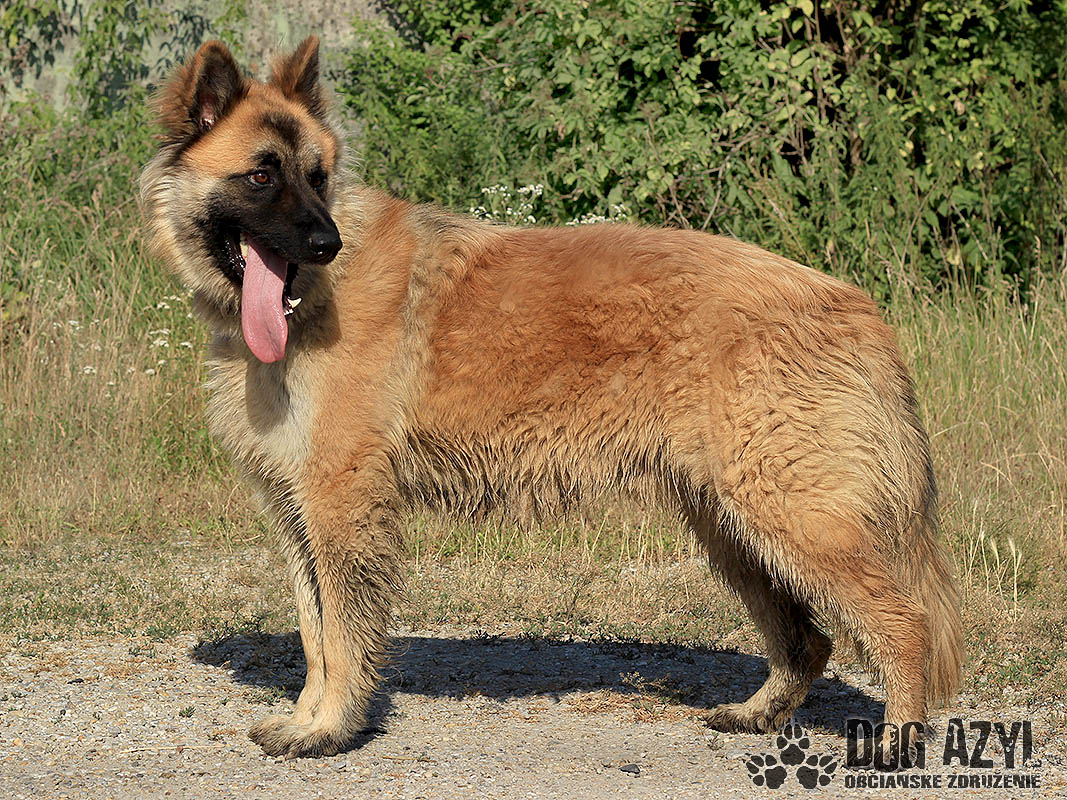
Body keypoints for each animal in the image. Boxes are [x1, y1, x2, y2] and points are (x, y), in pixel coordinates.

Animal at [140, 36, 963, 758]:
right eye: (261, 176)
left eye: (317, 176)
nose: (325, 244)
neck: (309, 300)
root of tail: (857, 306)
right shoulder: (298, 512)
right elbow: (315, 633)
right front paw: (308, 720)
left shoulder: (340, 505)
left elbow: (342, 633)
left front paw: (332, 729)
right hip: (734, 528)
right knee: (807, 639)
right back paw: (757, 715)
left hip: (792, 519)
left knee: (903, 624)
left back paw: (895, 741)